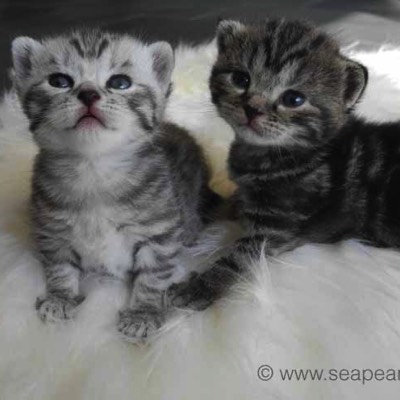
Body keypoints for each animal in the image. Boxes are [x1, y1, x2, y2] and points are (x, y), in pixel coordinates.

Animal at [11, 29, 218, 342]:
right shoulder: (52, 230)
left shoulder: (159, 233)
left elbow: (152, 276)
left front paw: (142, 314)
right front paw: (60, 297)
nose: (88, 93)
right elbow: (59, 266)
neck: (94, 169)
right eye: (59, 81)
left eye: (120, 83)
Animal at [167, 18, 400, 311]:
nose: (253, 108)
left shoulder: (276, 228)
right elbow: (226, 203)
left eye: (293, 99)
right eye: (241, 79)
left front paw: (200, 287)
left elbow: (237, 258)